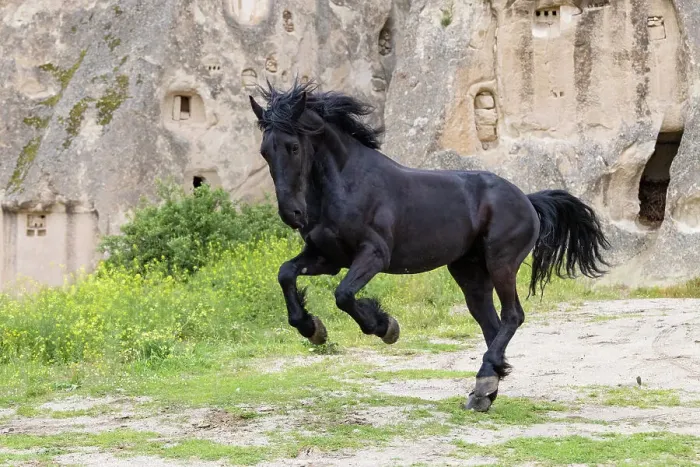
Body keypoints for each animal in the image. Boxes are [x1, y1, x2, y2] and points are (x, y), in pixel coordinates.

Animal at [248, 79, 610, 412]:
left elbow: (344, 295)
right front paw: (313, 329)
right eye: (265, 151)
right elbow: (286, 274)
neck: (347, 184)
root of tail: (527, 199)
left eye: (293, 147)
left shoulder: (373, 255)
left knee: (512, 316)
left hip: (501, 263)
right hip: (469, 272)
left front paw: (385, 327)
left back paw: (485, 382)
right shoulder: (327, 257)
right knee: (490, 324)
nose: (293, 214)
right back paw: (484, 390)